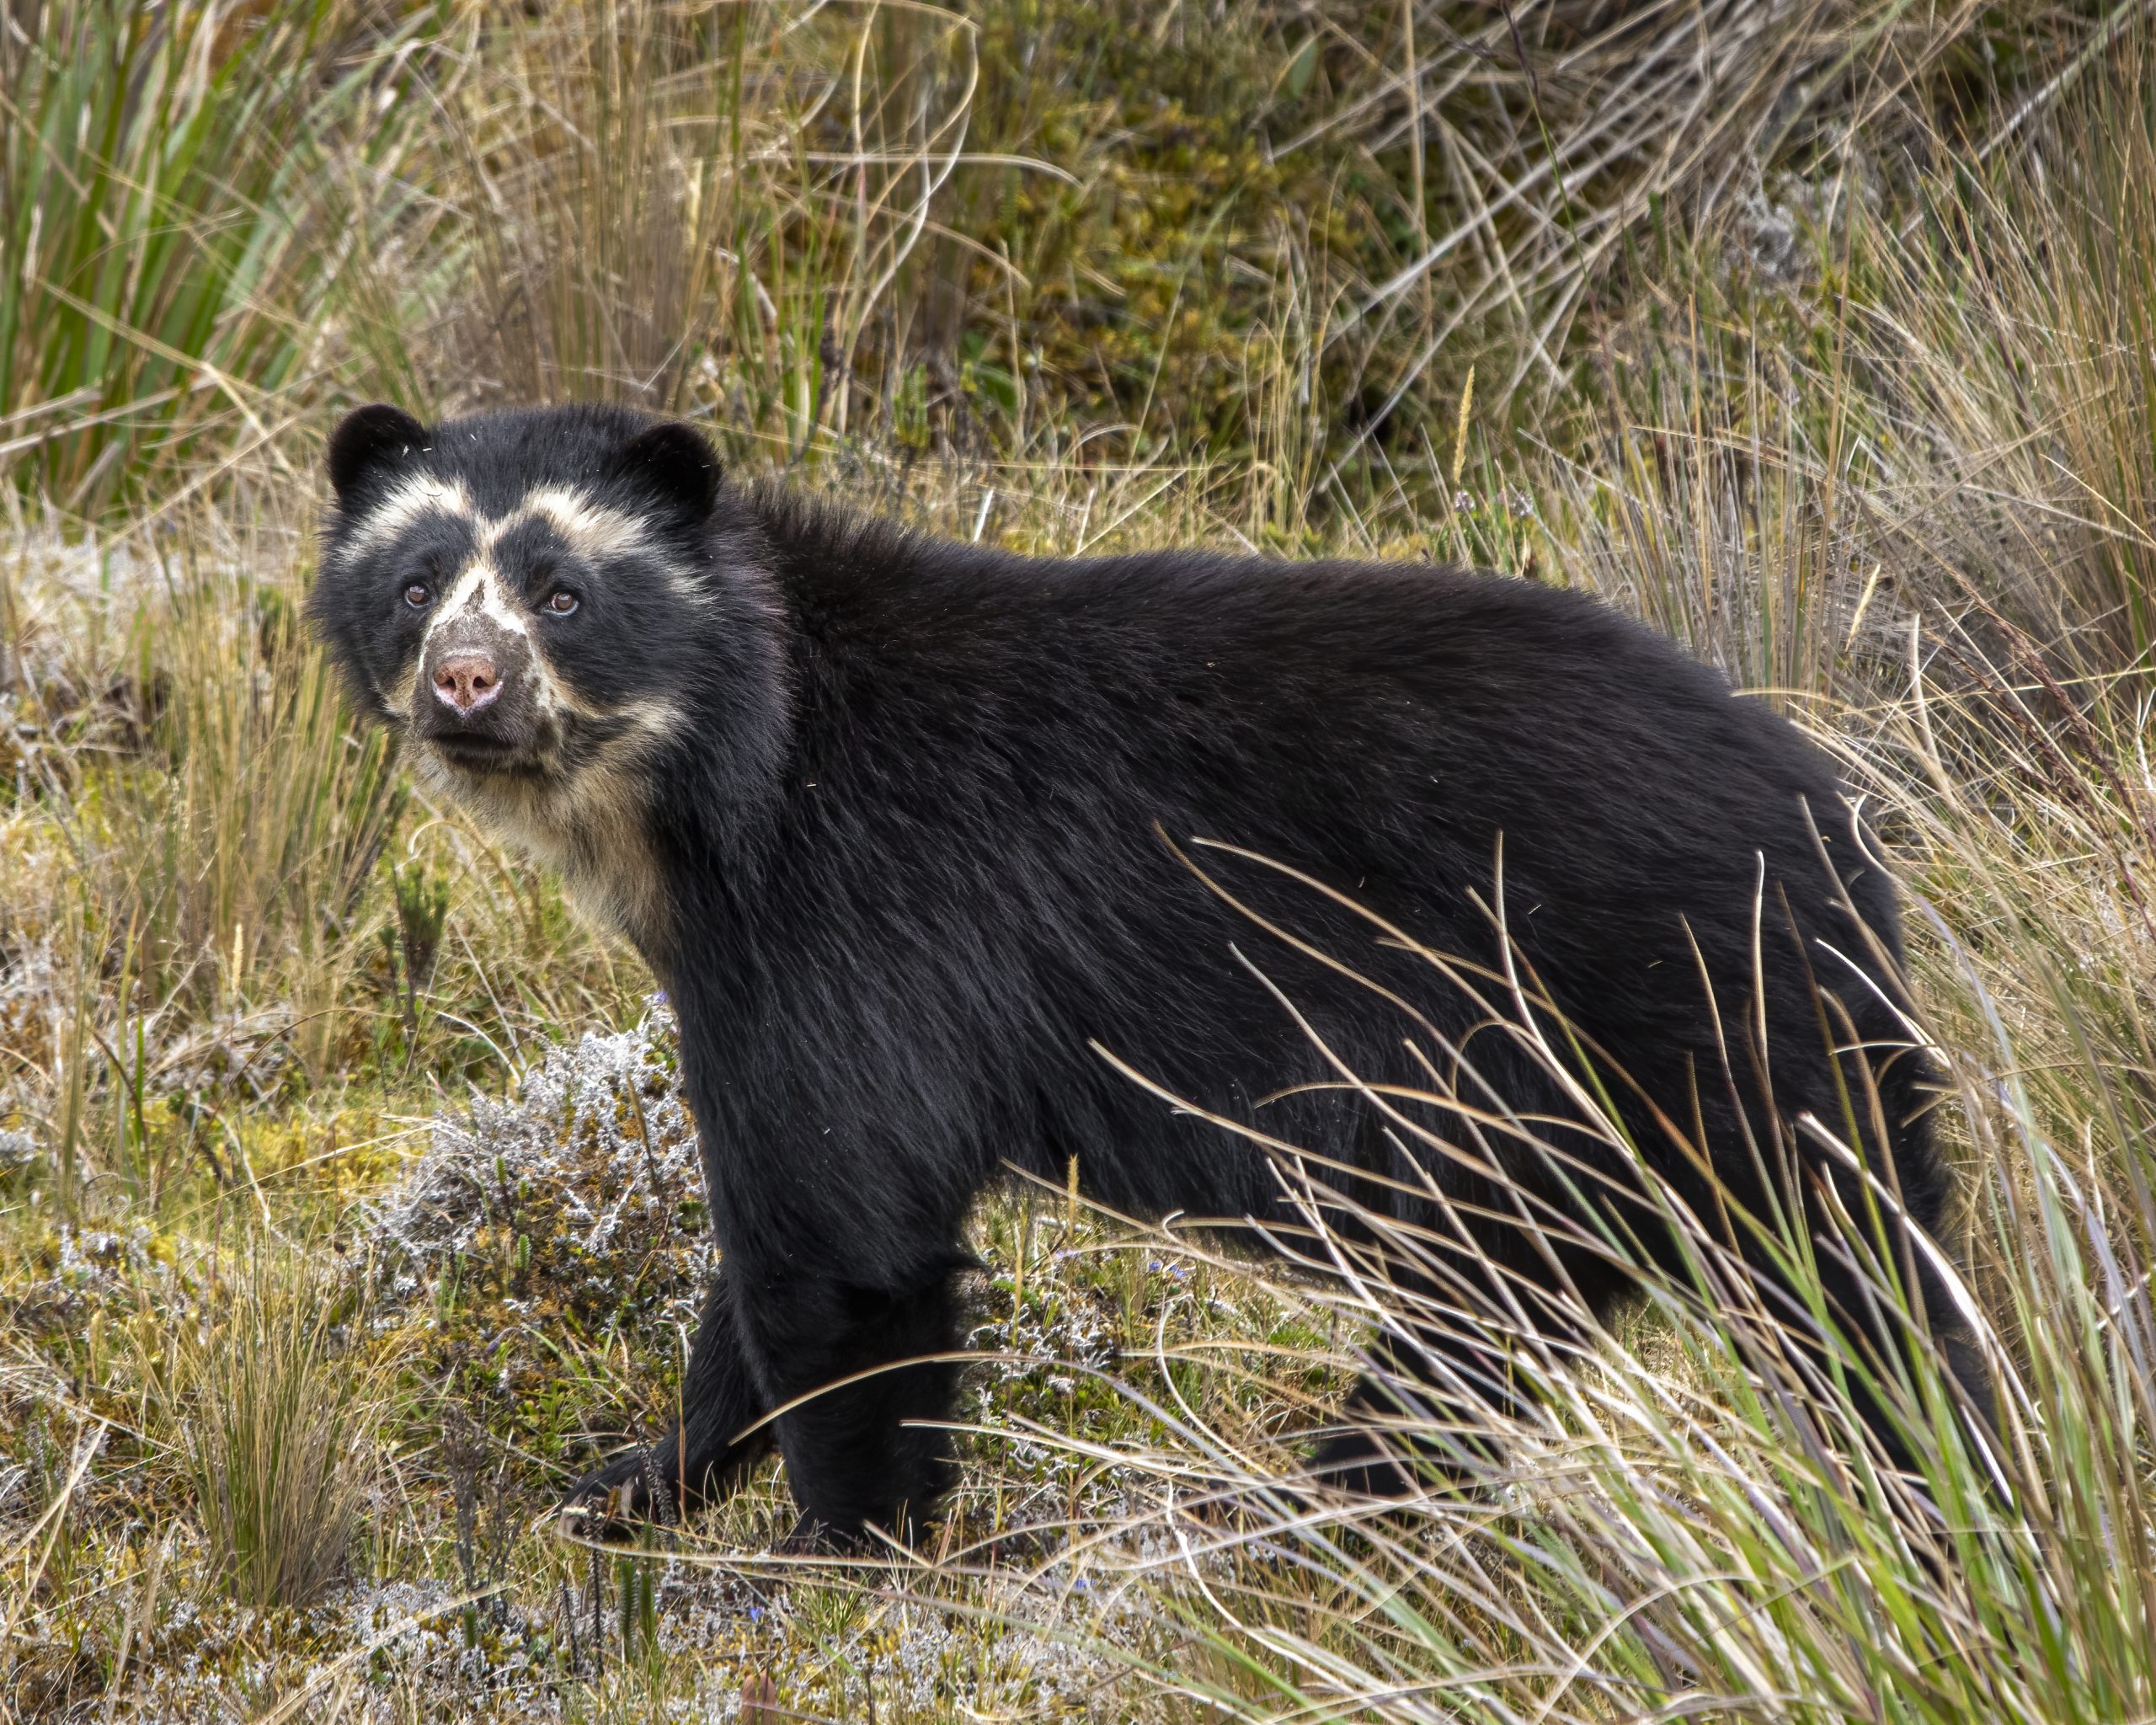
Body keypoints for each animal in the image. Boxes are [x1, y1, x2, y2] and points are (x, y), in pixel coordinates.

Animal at [309, 400, 1979, 1549]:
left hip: (1647, 1022)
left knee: (1802, 1291)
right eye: (416, 583)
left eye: (562, 593)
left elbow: (840, 1233)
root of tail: (1833, 821)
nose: (465, 684)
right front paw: (625, 1485)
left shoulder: (846, 922)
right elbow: (783, 1240)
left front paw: (835, 1552)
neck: (714, 789)